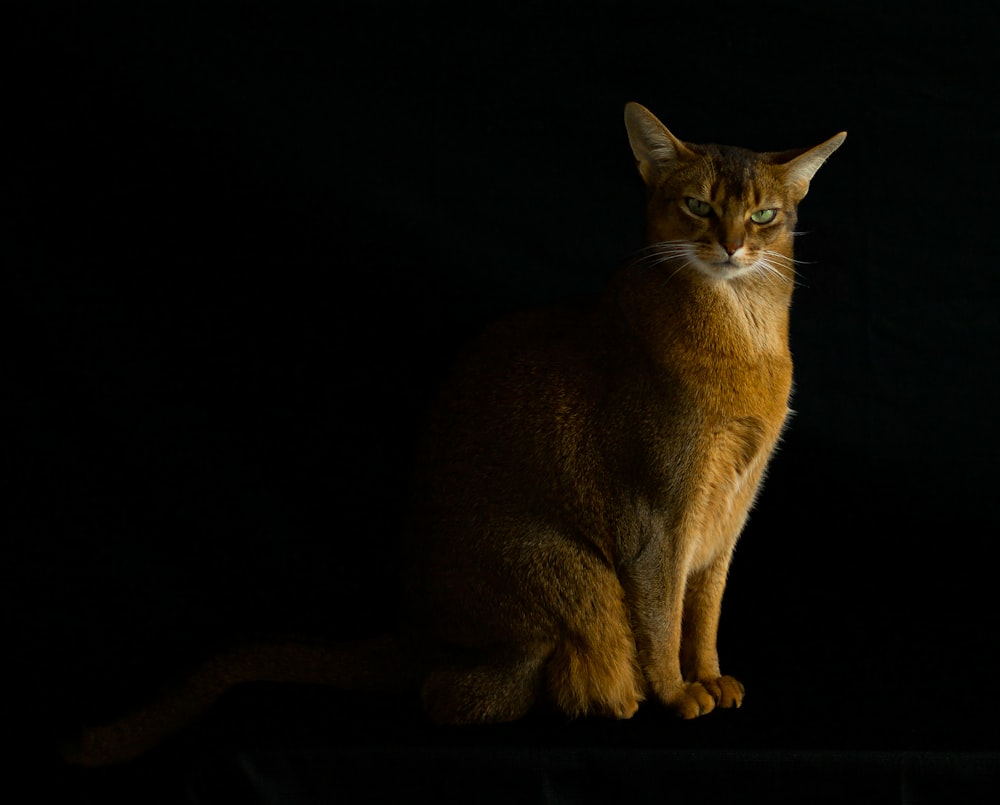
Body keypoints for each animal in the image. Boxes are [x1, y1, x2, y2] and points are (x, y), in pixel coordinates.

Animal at [64, 103, 844, 764]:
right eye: (698, 206)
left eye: (765, 215)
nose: (733, 246)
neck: (743, 335)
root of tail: (414, 627)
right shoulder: (656, 514)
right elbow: (661, 615)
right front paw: (676, 693)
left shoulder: (728, 510)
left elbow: (702, 610)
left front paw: (708, 676)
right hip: (574, 571)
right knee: (449, 691)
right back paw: (602, 698)